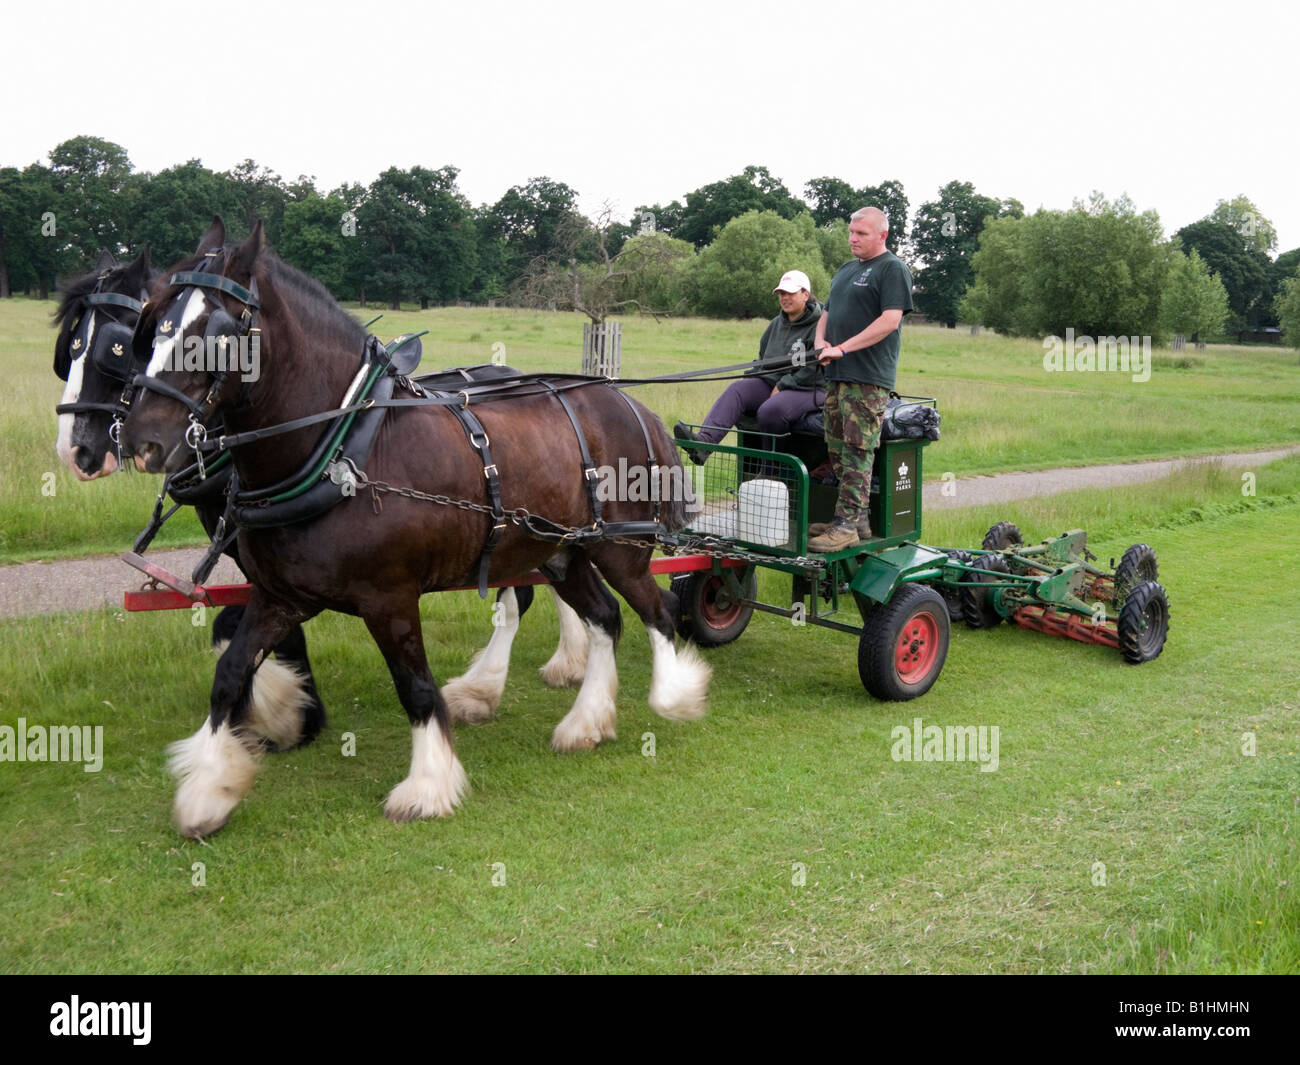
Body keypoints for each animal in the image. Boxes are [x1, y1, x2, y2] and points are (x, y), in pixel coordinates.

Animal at [122, 217, 708, 837]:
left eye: (218, 330)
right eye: (152, 325)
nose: (141, 439)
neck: (342, 447)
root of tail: (628, 402)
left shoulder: (390, 599)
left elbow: (418, 689)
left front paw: (427, 785)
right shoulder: (280, 594)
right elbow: (231, 672)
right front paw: (208, 789)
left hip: (619, 547)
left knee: (656, 609)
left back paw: (674, 694)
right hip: (560, 551)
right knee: (604, 617)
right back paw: (586, 722)